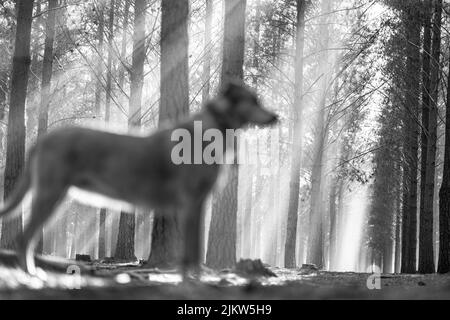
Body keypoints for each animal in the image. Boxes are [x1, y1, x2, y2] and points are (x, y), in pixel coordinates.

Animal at [0, 82, 278, 278]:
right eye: (254, 100)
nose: (276, 117)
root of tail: (43, 139)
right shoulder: (193, 203)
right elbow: (194, 249)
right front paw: (195, 277)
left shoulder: (196, 204)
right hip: (51, 194)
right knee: (24, 238)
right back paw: (31, 274)